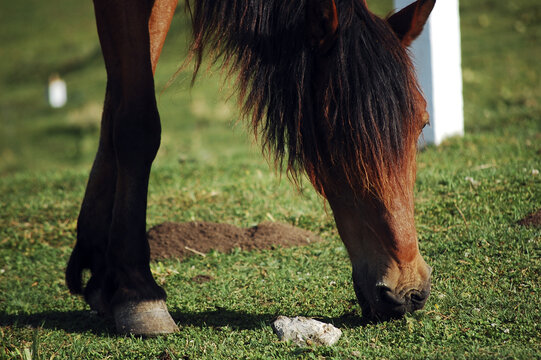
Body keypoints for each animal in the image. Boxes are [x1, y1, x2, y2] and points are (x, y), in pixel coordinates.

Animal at [65, 0, 434, 334]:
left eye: (423, 124)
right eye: (340, 134)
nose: (407, 291)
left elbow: (114, 107)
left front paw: (101, 274)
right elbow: (135, 122)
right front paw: (137, 293)